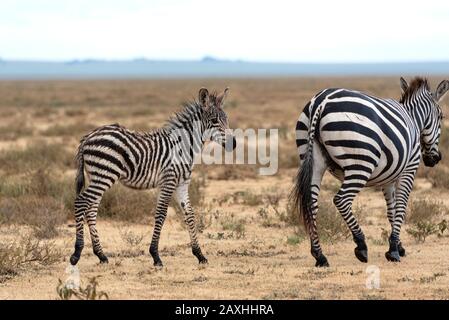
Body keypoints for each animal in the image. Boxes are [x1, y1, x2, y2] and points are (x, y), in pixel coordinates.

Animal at [68, 87, 236, 268]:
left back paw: (101, 255)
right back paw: (77, 253)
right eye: (214, 120)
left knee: (91, 209)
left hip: (98, 176)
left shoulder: (182, 184)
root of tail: (88, 137)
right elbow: (161, 214)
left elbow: (190, 214)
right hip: (105, 174)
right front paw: (155, 256)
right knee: (81, 202)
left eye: (227, 119)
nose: (234, 144)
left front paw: (199, 254)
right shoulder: (168, 181)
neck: (182, 147)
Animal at [290, 77, 448, 268]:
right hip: (360, 163)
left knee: (312, 203)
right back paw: (361, 246)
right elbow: (401, 208)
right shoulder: (409, 169)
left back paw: (320, 256)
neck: (414, 119)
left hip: (312, 159)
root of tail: (321, 101)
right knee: (341, 200)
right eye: (441, 117)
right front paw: (394, 251)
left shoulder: (389, 178)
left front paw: (398, 246)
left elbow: (391, 211)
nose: (435, 159)